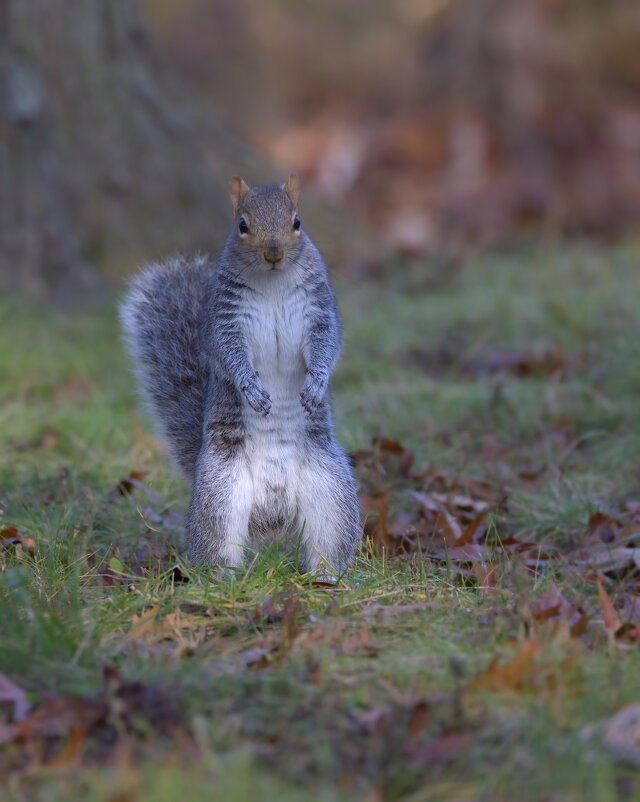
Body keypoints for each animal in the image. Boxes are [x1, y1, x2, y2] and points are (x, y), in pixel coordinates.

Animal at [120, 175, 360, 576]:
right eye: (242, 225)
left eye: (297, 222)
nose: (274, 253)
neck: (272, 281)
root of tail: (272, 519)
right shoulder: (225, 320)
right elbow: (230, 356)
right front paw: (252, 390)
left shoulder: (320, 309)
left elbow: (327, 345)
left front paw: (316, 384)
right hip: (220, 494)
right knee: (218, 546)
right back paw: (222, 578)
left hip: (332, 492)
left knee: (329, 541)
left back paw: (329, 576)